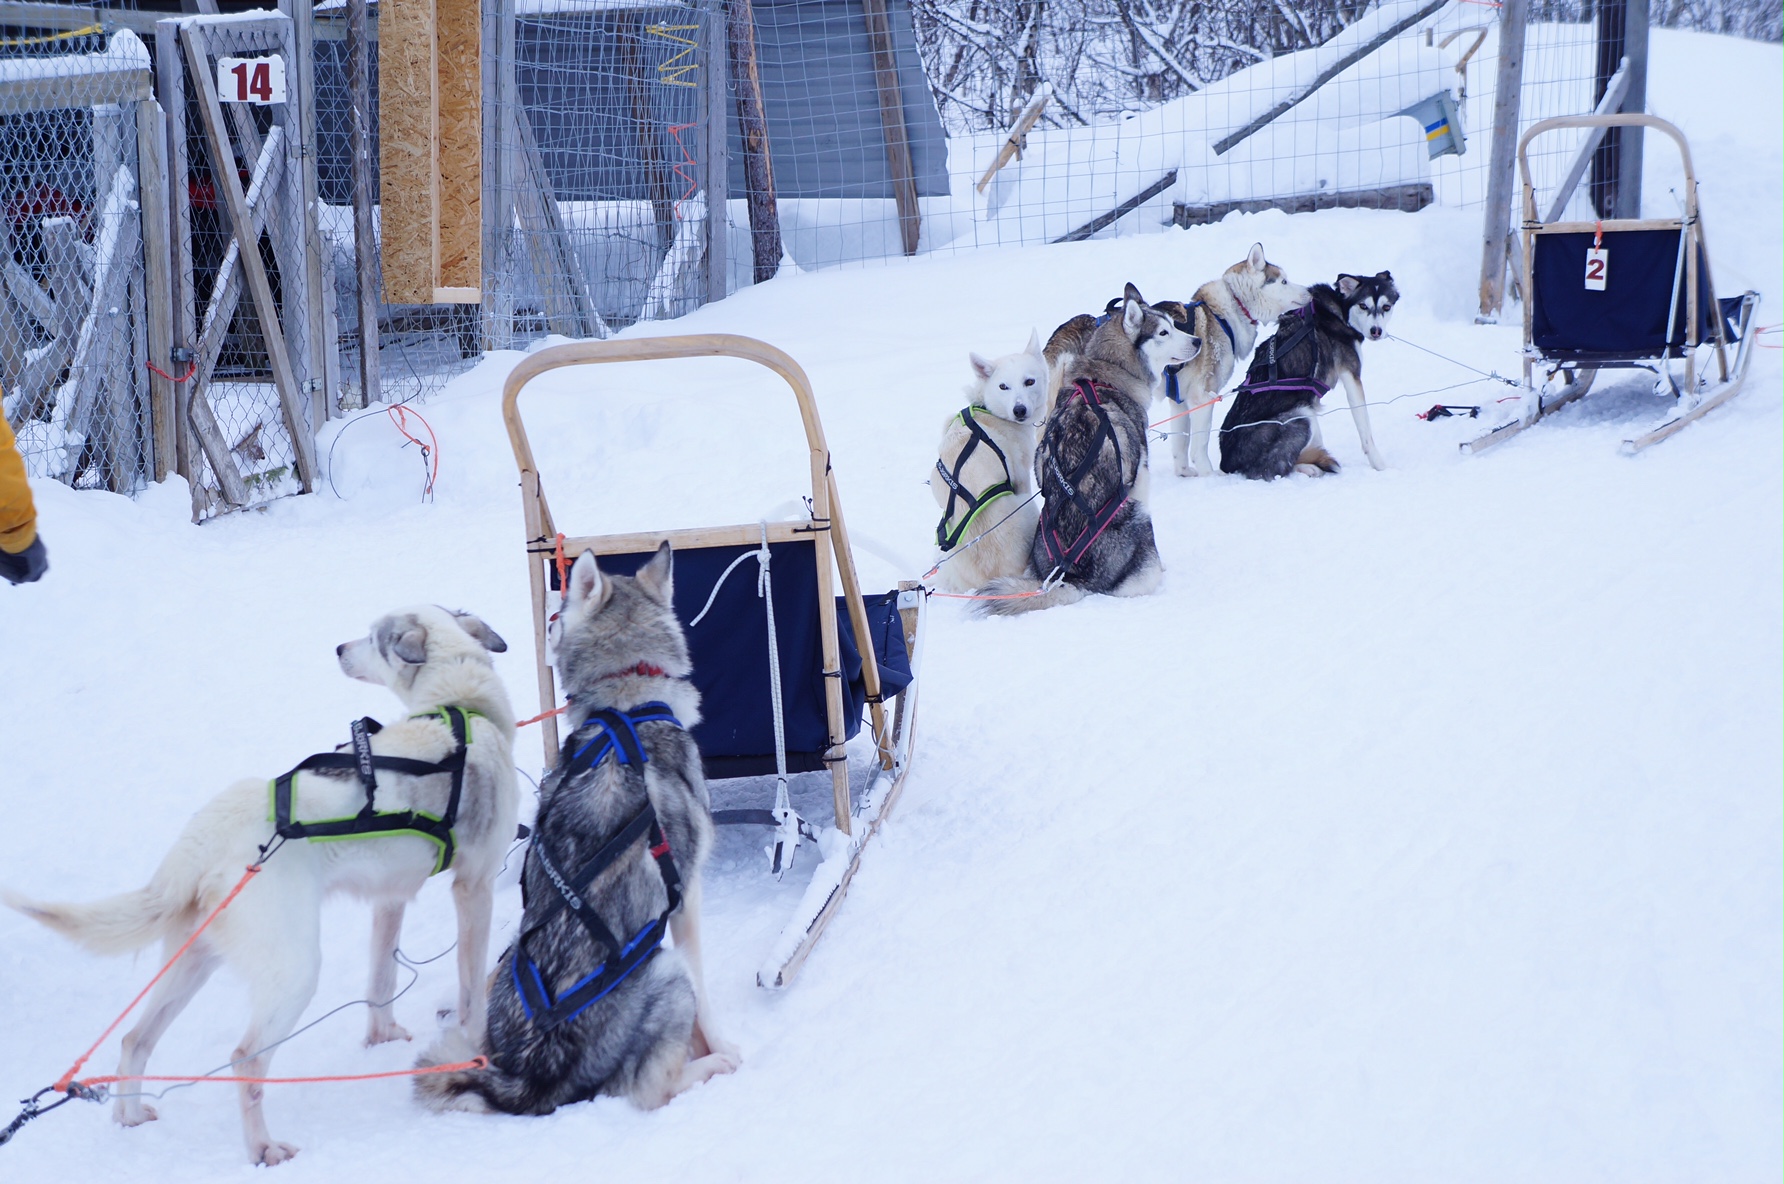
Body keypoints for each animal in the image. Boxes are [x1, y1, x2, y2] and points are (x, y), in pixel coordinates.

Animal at [6, 609, 520, 1162]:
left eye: (372, 638)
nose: (338, 648)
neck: (460, 705)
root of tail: (209, 829)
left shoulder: (390, 898)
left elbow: (380, 982)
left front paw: (383, 1040)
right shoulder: (474, 887)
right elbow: (470, 994)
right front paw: (474, 1052)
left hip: (192, 961)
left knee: (134, 1038)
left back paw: (129, 1115)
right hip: (295, 971)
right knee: (245, 1058)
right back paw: (263, 1149)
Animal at [934, 329, 1041, 592]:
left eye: (1029, 381)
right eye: (1003, 386)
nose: (1019, 410)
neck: (986, 408)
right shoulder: (1022, 475)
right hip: (1027, 506)